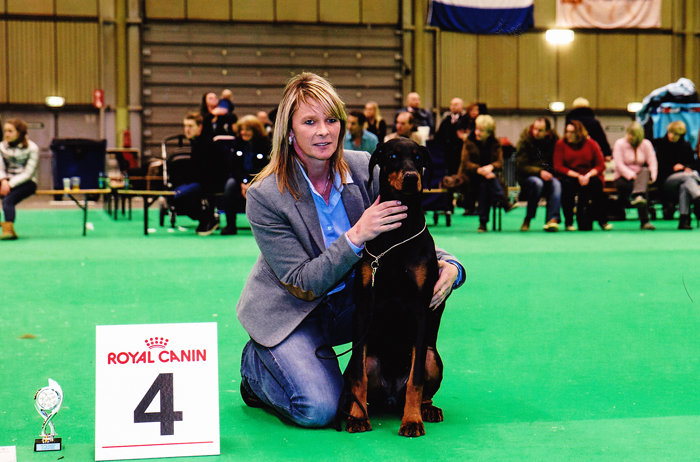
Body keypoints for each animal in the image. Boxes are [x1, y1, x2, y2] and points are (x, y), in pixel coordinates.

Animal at [339, 138, 445, 437]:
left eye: (419, 157)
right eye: (393, 156)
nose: (411, 178)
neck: (398, 232)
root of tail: (390, 398)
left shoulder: (420, 310)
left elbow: (416, 380)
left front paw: (412, 421)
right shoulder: (363, 309)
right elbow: (359, 377)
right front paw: (357, 418)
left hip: (432, 356)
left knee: (421, 385)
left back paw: (426, 410)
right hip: (364, 359)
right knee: (359, 375)